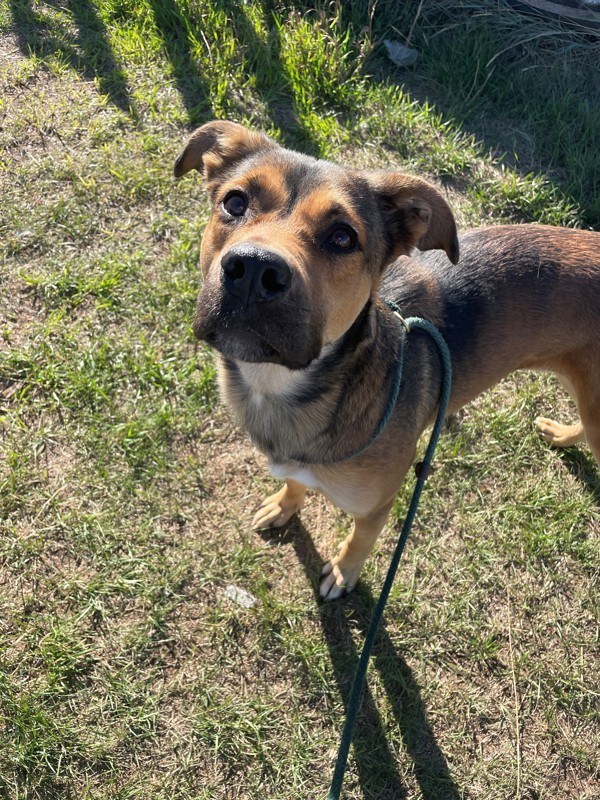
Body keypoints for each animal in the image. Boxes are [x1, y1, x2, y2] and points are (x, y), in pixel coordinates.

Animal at [173, 120, 600, 600]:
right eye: (235, 202)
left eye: (343, 237)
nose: (252, 271)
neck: (281, 386)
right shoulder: (294, 461)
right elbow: (293, 481)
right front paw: (284, 505)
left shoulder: (377, 504)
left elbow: (360, 539)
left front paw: (344, 573)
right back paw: (562, 435)